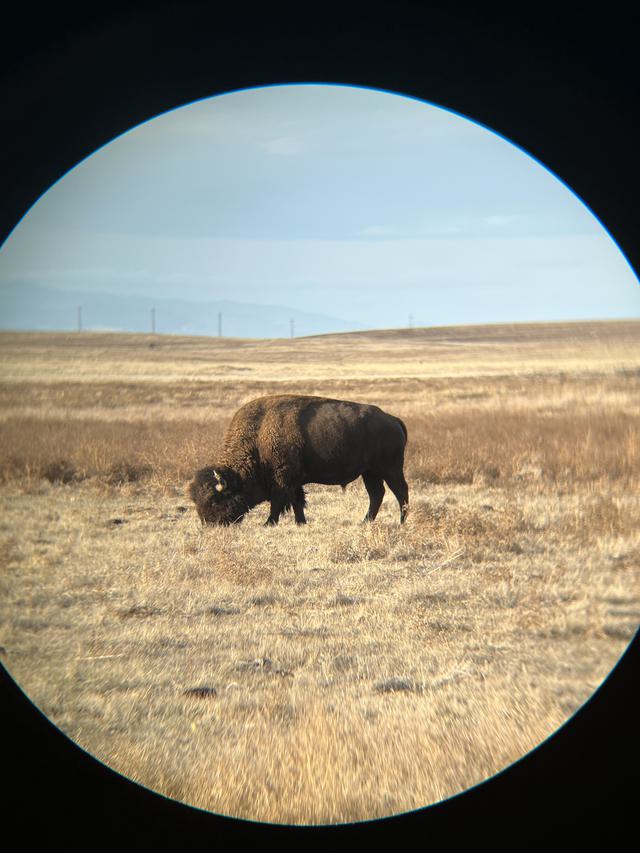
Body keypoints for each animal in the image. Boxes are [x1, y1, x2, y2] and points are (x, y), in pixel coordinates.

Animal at [189, 394, 409, 526]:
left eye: (215, 500)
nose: (210, 524)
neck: (258, 436)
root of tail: (393, 420)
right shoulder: (293, 481)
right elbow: (297, 500)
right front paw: (300, 522)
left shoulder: (282, 480)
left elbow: (279, 502)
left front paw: (268, 523)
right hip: (369, 472)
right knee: (376, 494)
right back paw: (365, 522)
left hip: (390, 469)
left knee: (400, 491)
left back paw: (401, 522)